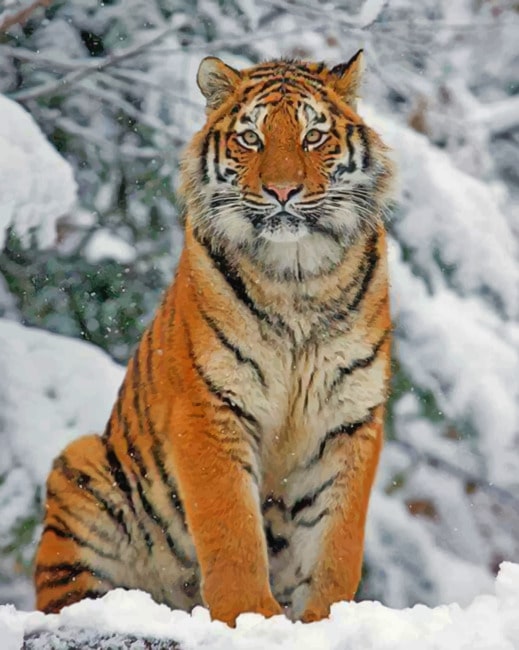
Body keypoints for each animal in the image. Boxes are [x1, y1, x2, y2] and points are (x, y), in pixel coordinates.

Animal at [34, 50, 395, 626]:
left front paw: (325, 621)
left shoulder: (349, 416)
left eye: (314, 136)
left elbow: (337, 544)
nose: (283, 191)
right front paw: (250, 617)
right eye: (251, 138)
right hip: (81, 468)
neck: (297, 277)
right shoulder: (209, 407)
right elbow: (231, 531)